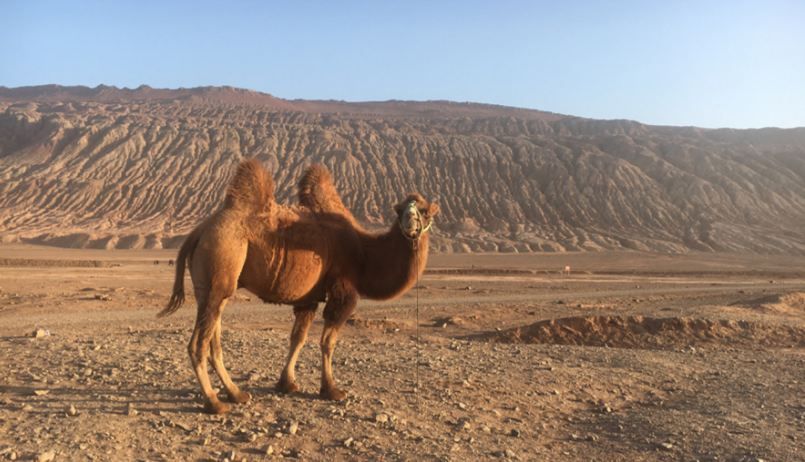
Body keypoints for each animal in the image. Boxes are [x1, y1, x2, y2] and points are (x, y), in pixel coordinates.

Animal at [158, 158, 439, 414]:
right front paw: (331, 390)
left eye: (425, 211)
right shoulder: (343, 294)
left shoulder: (309, 299)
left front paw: (287, 384)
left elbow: (298, 338)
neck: (364, 253)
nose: (410, 220)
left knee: (213, 338)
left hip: (211, 288)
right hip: (221, 259)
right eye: (400, 211)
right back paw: (214, 403)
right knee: (198, 345)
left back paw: (236, 394)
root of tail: (198, 231)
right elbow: (327, 342)